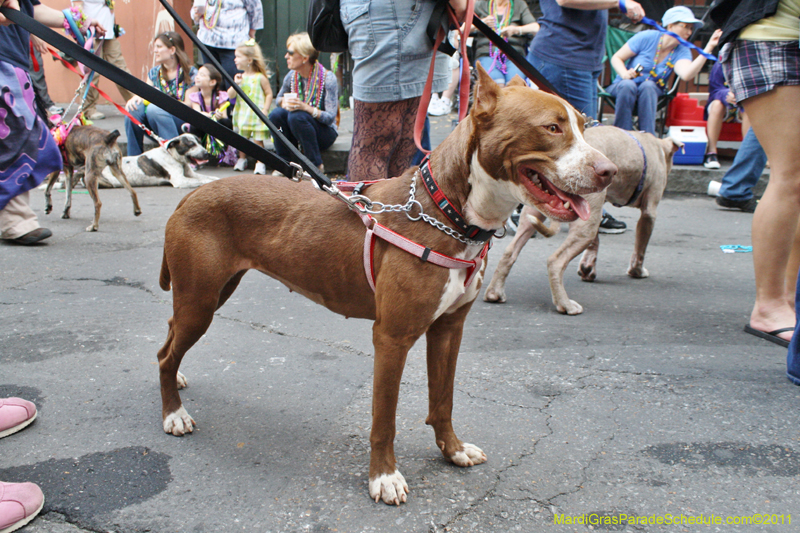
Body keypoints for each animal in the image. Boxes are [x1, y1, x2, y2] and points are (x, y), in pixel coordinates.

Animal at [158, 68, 620, 504]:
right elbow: (385, 417)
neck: (448, 211)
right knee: (166, 354)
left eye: (583, 125)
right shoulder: (392, 338)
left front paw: (452, 450)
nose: (610, 171)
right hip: (201, 300)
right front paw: (384, 477)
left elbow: (443, 399)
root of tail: (191, 195)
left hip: (211, 292)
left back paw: (177, 380)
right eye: (552, 127)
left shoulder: (449, 329)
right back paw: (173, 413)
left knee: (170, 336)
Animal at [482, 125, 680, 314]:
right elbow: (641, 247)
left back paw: (494, 293)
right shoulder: (648, 214)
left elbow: (595, 243)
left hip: (534, 209)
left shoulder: (593, 211)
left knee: (510, 251)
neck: (656, 146)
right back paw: (565, 304)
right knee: (555, 262)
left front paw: (588, 267)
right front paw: (637, 271)